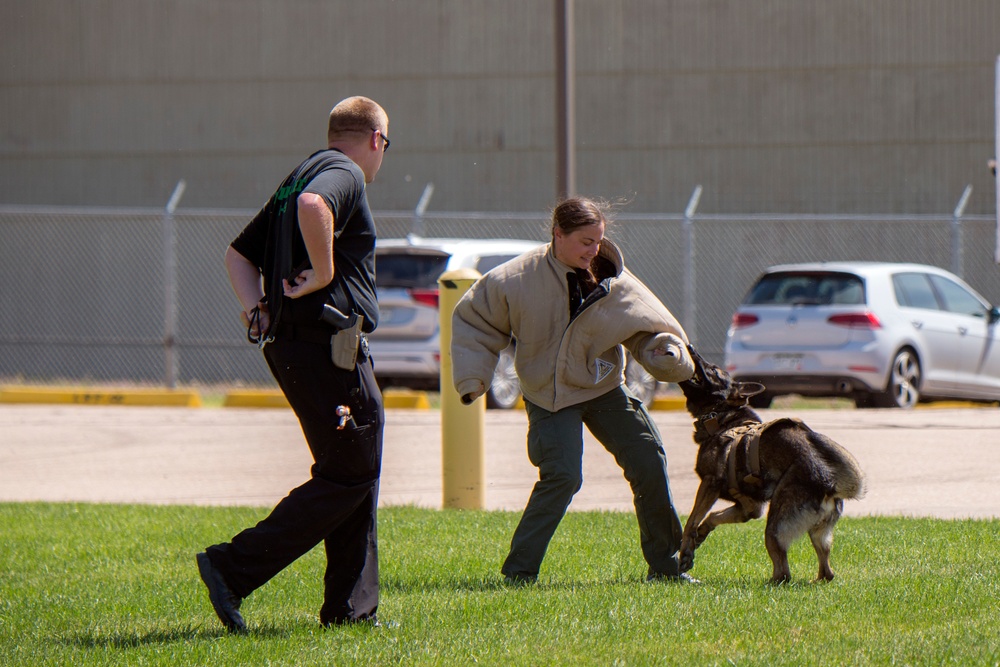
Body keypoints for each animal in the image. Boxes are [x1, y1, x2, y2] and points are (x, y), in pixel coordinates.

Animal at [680, 348, 868, 580]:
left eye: (713, 370)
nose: (691, 348)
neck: (721, 418)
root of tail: (829, 485)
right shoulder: (749, 508)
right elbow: (713, 516)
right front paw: (701, 534)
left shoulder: (709, 483)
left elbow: (692, 520)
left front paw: (685, 551)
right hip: (818, 535)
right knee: (827, 571)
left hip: (775, 526)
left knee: (784, 573)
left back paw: (766, 583)